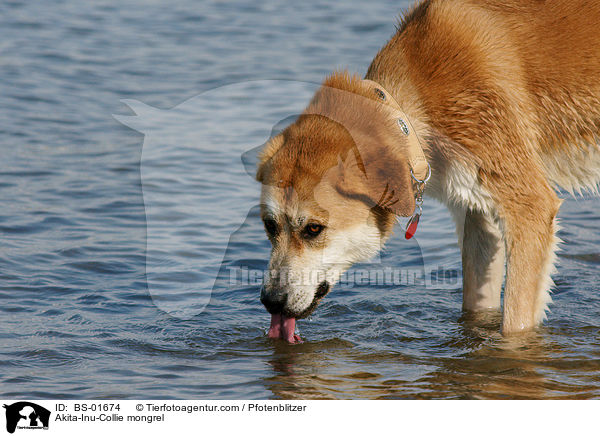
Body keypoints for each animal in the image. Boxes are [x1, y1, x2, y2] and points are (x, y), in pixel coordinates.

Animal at [254, 0, 600, 340]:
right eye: (269, 225)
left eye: (314, 229)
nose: (271, 302)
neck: (414, 106)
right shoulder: (479, 217)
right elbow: (477, 304)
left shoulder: (529, 209)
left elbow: (515, 322)